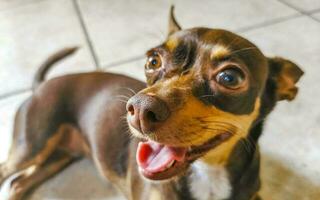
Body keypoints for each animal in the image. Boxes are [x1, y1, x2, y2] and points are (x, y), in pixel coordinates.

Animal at [0, 6, 302, 200]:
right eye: (153, 61)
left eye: (230, 77)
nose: (141, 110)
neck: (209, 172)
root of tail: (40, 85)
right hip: (31, 146)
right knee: (7, 172)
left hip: (58, 155)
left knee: (18, 183)